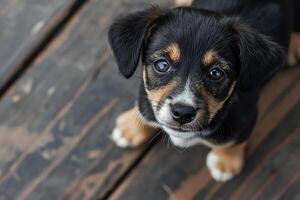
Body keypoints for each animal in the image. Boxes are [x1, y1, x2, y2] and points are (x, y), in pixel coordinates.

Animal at [108, 0, 296, 181]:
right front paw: (131, 127)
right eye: (162, 65)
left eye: (216, 73)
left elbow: (232, 142)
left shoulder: (244, 120)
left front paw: (225, 162)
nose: (183, 113)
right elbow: (144, 106)